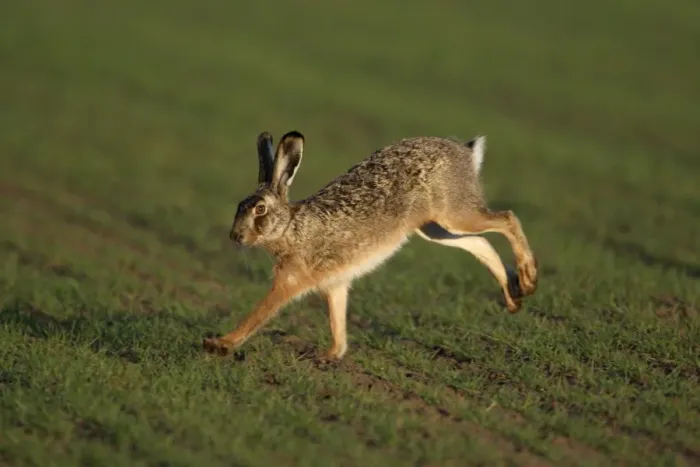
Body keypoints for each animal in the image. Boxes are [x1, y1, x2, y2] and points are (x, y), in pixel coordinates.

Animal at [203, 130, 538, 360]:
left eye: (259, 210)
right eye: (239, 206)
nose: (235, 237)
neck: (290, 228)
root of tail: (466, 152)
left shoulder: (290, 280)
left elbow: (260, 313)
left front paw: (220, 344)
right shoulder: (335, 284)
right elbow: (338, 322)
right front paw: (330, 355)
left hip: (454, 213)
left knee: (507, 218)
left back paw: (528, 279)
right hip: (435, 228)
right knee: (480, 241)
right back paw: (513, 298)